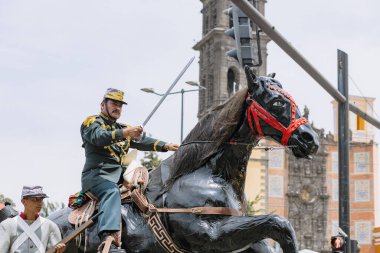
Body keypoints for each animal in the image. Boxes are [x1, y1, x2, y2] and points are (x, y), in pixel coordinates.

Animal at [49, 66, 320, 252]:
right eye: (277, 101)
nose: (311, 139)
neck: (212, 174)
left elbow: (270, 234)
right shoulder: (209, 235)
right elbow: (279, 222)